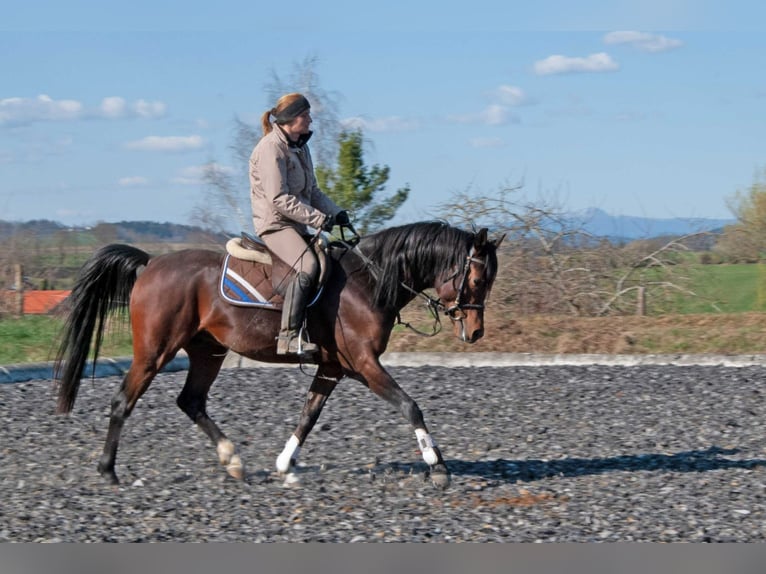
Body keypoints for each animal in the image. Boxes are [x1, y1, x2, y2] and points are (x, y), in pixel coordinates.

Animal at [57, 222, 508, 490]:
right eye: (476, 279)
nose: (475, 332)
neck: (369, 280)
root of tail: (151, 264)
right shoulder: (363, 365)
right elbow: (410, 405)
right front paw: (437, 466)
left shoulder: (332, 367)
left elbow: (308, 415)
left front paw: (284, 464)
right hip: (154, 351)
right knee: (124, 401)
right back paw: (108, 470)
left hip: (208, 351)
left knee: (191, 401)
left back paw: (233, 460)